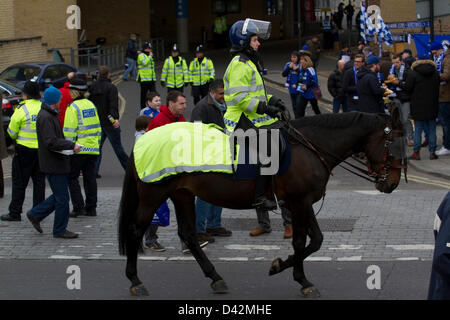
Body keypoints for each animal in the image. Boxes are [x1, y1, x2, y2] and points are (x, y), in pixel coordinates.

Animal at [118, 110, 406, 298]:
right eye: (394, 146)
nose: (392, 183)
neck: (309, 147)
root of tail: (145, 139)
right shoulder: (299, 202)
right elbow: (300, 242)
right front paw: (298, 277)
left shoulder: (303, 202)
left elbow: (316, 240)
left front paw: (285, 267)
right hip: (153, 195)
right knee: (135, 230)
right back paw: (134, 280)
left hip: (182, 194)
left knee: (188, 234)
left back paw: (215, 277)